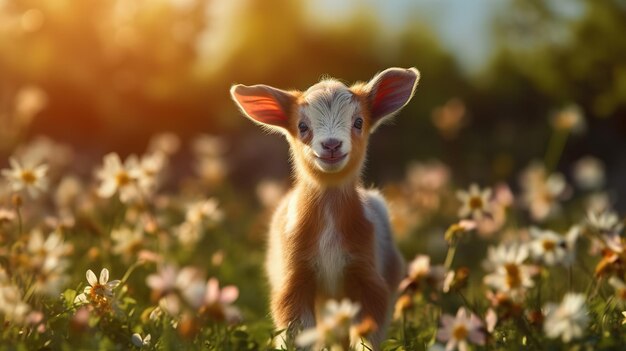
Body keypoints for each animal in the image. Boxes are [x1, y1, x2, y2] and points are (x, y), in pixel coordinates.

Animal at [230, 67, 420, 348]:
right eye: (302, 126)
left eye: (358, 122)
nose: (331, 144)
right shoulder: (294, 279)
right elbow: (296, 333)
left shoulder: (368, 278)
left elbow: (366, 334)